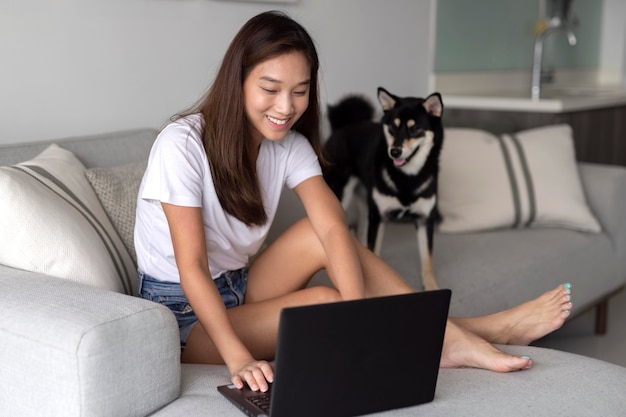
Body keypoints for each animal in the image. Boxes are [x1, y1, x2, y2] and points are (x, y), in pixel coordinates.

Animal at [322, 88, 444, 290]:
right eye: (393, 127)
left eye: (415, 128)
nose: (394, 152)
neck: (408, 177)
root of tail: (343, 126)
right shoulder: (378, 217)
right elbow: (375, 251)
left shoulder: (425, 219)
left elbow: (428, 259)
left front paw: (431, 286)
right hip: (341, 195)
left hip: (366, 203)